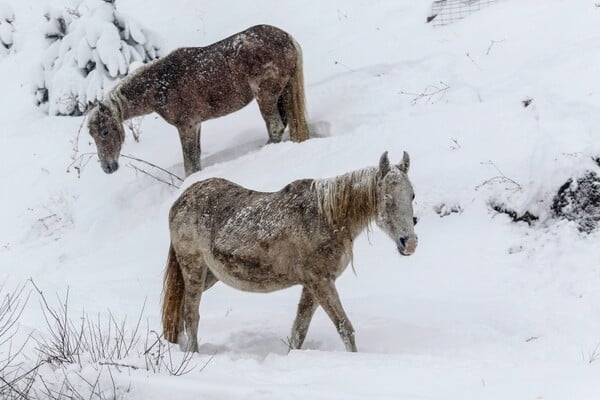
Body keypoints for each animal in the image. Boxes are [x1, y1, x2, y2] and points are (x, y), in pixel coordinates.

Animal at [86, 24, 310, 176]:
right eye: (92, 135)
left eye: (104, 132)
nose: (107, 167)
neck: (160, 85)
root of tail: (286, 37)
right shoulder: (196, 125)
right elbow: (196, 160)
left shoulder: (186, 127)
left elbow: (190, 165)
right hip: (281, 93)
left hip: (266, 96)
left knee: (275, 127)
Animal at [162, 152, 420, 354]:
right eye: (387, 198)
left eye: (412, 195)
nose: (409, 243)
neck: (326, 219)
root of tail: (180, 200)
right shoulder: (321, 282)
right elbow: (344, 328)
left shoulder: (312, 285)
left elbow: (299, 331)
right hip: (194, 268)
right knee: (191, 315)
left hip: (210, 275)